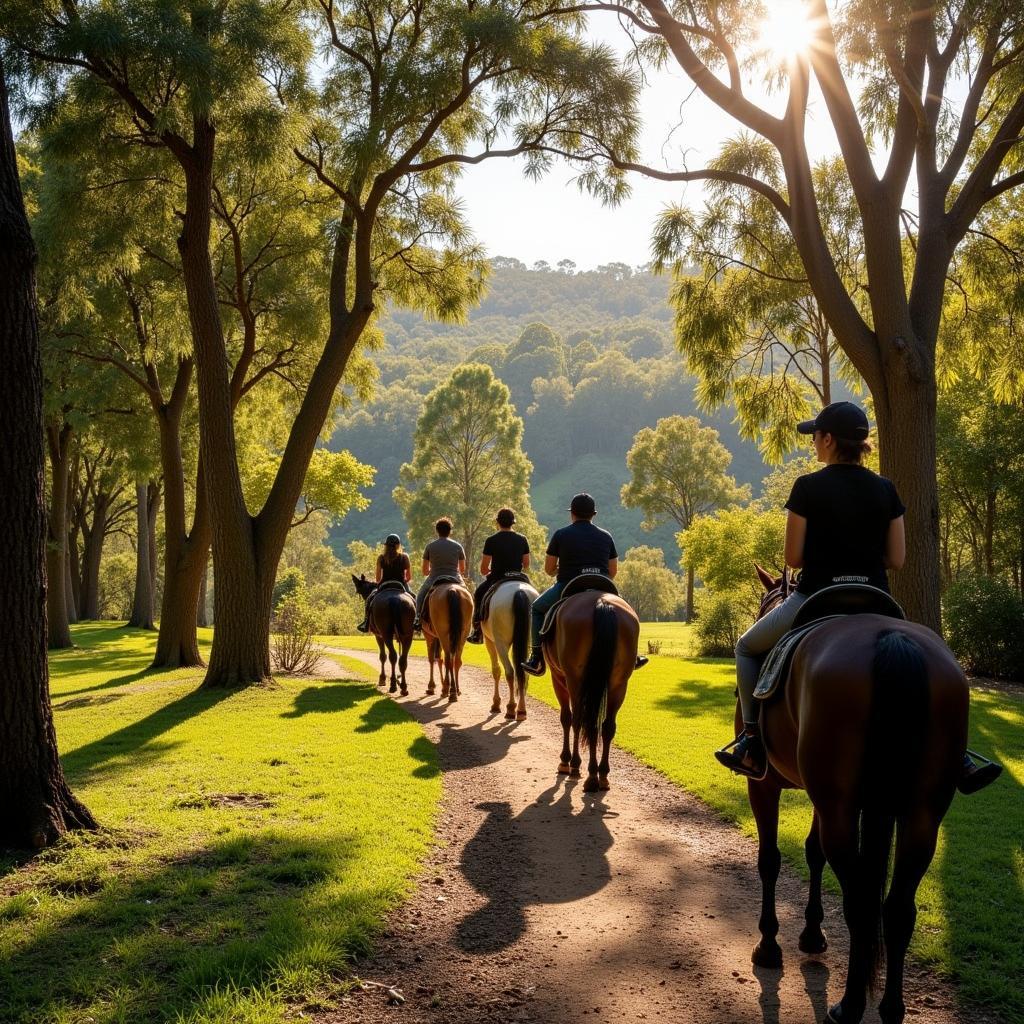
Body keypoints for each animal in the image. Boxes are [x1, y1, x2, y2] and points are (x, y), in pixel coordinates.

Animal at [481, 581, 540, 716]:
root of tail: (520, 591)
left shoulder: (489, 641)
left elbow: (496, 670)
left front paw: (496, 703)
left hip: (500, 643)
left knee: (509, 672)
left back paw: (511, 707)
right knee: (522, 672)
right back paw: (521, 709)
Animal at [544, 589, 638, 794]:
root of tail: (601, 602)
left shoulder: (558, 678)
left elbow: (567, 718)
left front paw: (566, 762)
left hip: (575, 681)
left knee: (581, 721)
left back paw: (583, 771)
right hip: (619, 685)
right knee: (606, 726)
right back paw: (601, 775)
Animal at [745, 569, 966, 1024]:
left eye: (765, 605)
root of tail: (890, 639)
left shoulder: (765, 784)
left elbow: (771, 859)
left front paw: (769, 945)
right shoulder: (824, 799)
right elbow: (812, 853)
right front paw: (812, 934)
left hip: (841, 807)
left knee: (861, 902)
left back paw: (848, 1005)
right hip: (920, 814)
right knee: (897, 909)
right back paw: (890, 1007)